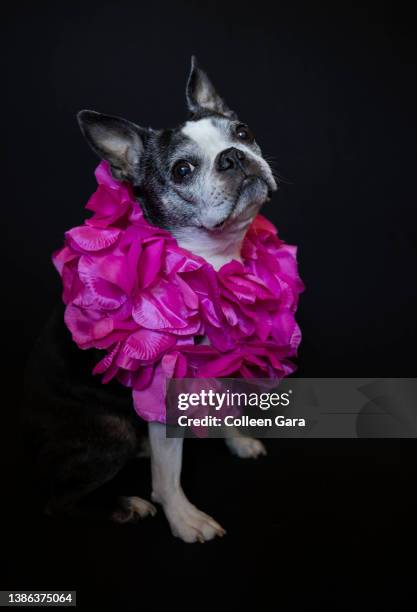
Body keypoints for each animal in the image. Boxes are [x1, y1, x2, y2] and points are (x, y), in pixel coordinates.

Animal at [23, 57, 276, 540]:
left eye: (243, 132)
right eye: (182, 171)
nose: (234, 156)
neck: (209, 265)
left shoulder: (222, 359)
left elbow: (226, 403)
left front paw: (237, 440)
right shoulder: (163, 389)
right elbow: (168, 473)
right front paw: (183, 518)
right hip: (110, 429)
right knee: (52, 501)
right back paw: (126, 505)